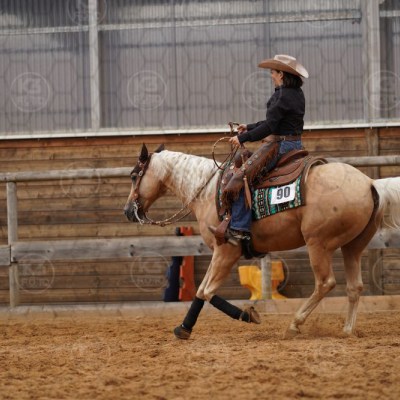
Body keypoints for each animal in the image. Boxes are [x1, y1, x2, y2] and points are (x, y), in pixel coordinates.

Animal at [124, 143, 400, 339]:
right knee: (355, 288)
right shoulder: (218, 253)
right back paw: (347, 330)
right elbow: (201, 291)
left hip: (318, 244)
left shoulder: (226, 250)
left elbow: (208, 291)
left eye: (134, 175)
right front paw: (184, 328)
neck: (209, 191)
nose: (128, 211)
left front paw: (248, 315)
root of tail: (370, 183)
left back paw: (294, 325)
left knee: (325, 283)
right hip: (352, 247)